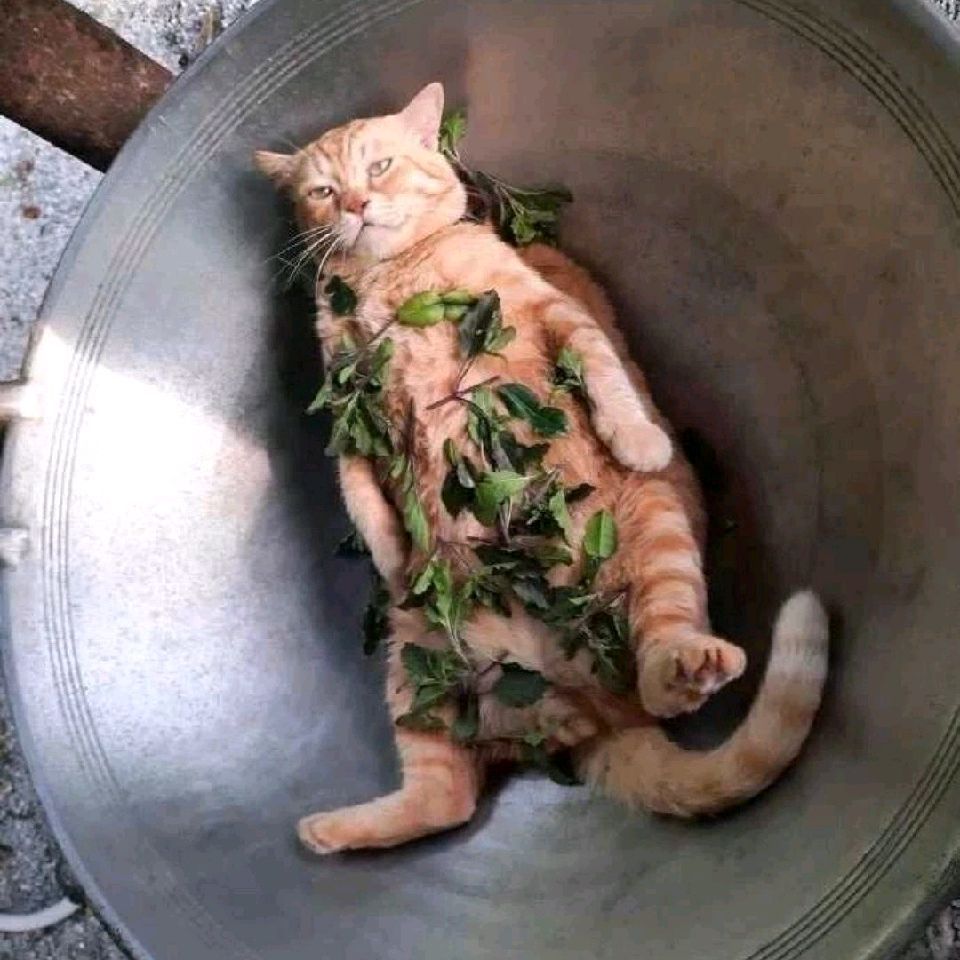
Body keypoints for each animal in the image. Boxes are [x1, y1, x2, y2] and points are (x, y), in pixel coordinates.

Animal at [255, 83, 829, 854]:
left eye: (379, 167)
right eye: (322, 190)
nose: (355, 204)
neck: (390, 278)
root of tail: (583, 715)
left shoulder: (553, 311)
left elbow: (605, 374)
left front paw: (638, 436)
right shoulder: (346, 411)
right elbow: (359, 496)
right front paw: (391, 553)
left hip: (653, 533)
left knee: (660, 660)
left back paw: (687, 665)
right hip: (416, 662)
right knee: (446, 798)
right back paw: (327, 830)